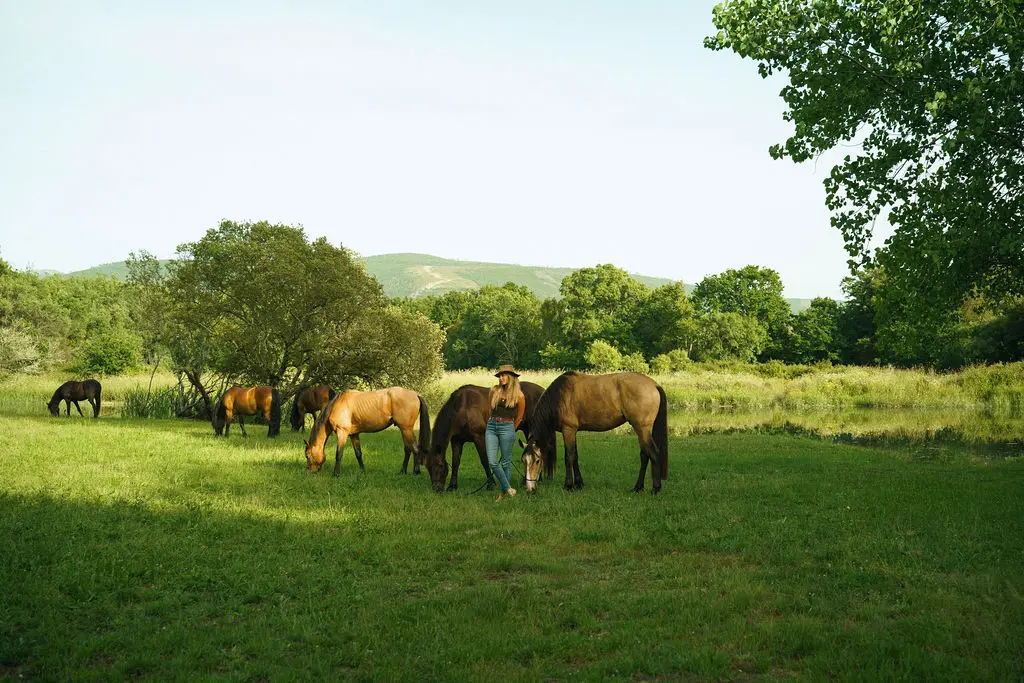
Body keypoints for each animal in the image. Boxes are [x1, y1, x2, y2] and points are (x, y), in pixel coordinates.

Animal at [521, 371, 669, 493]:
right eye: (523, 461)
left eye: (537, 461)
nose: (529, 488)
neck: (560, 395)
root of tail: (654, 385)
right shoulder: (573, 431)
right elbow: (575, 456)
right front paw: (579, 484)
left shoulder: (568, 430)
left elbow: (569, 457)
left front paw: (568, 485)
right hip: (641, 430)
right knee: (644, 455)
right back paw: (638, 487)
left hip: (642, 428)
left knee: (654, 453)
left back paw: (655, 488)